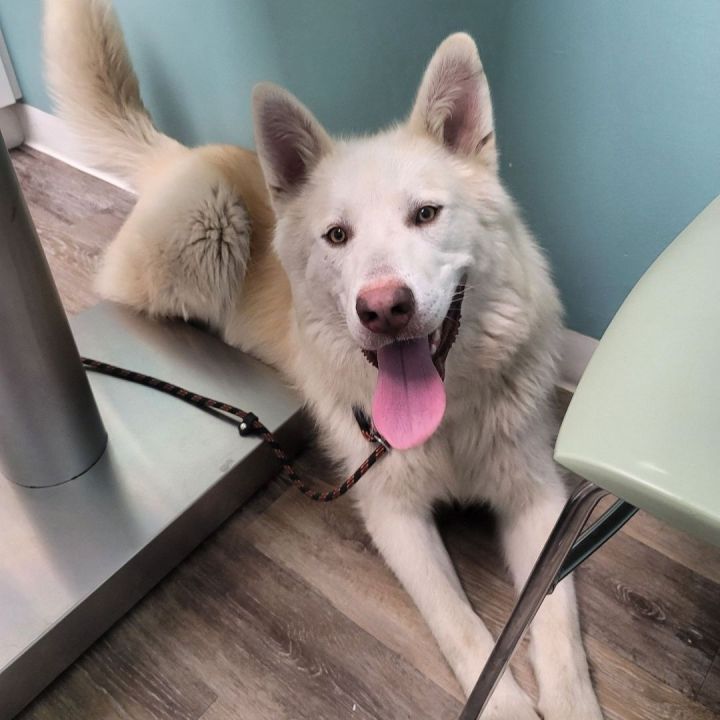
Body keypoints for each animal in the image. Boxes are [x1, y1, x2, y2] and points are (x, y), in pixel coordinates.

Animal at [45, 2, 600, 716]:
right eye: (337, 235)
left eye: (426, 214)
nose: (384, 308)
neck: (448, 421)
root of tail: (186, 153)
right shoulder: (394, 515)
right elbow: (459, 626)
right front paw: (503, 702)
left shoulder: (538, 499)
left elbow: (556, 624)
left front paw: (568, 702)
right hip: (202, 232)